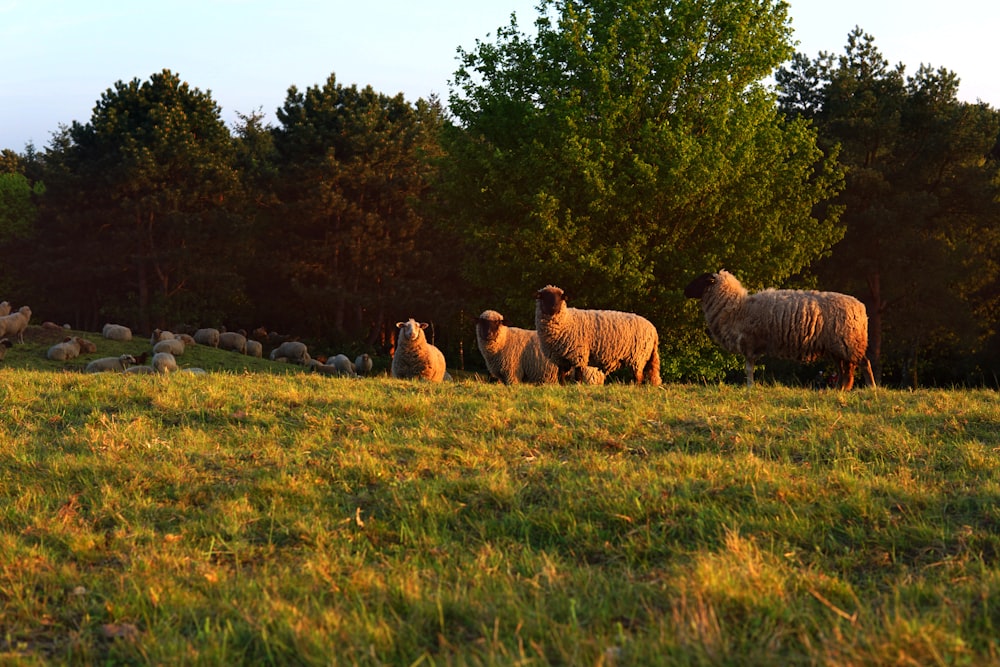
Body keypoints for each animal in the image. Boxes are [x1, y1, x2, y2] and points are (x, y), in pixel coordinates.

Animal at [684, 268, 880, 388]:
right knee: (844, 370)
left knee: (864, 364)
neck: (737, 307)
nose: (684, 291)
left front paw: (749, 387)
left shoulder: (749, 343)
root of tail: (861, 309)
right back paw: (840, 390)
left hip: (849, 342)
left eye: (701, 280)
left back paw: (871, 388)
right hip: (838, 347)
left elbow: (748, 368)